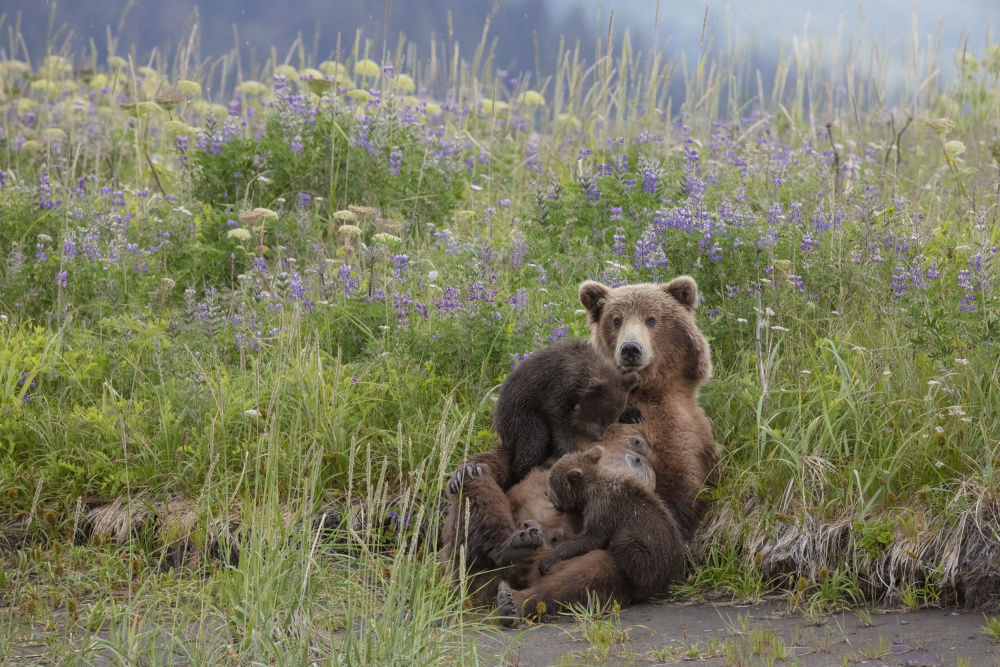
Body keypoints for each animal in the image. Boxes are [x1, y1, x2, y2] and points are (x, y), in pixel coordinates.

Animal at [440, 276, 720, 616]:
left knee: (591, 571)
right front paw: (469, 468)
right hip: (472, 560)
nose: (630, 349)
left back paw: (516, 600)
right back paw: (508, 542)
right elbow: (514, 455)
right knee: (478, 497)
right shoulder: (555, 417)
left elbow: (676, 498)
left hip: (577, 559)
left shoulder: (681, 437)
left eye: (652, 319)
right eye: (616, 319)